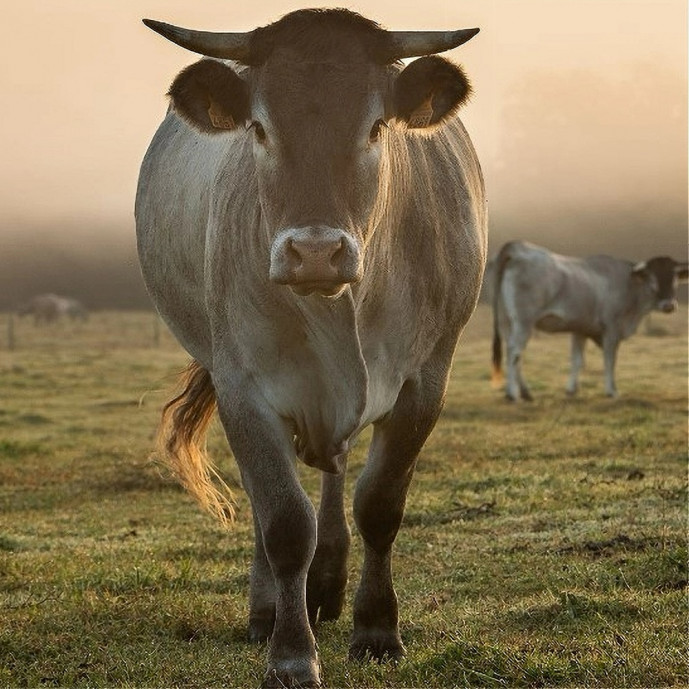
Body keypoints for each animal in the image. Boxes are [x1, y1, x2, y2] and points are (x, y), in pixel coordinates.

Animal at [134, 9, 486, 684]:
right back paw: (269, 608)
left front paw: (377, 629)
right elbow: (282, 519)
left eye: (375, 126)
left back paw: (326, 585)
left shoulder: (427, 379)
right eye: (259, 127)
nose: (316, 252)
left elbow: (379, 504)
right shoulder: (243, 387)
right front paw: (292, 653)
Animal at [492, 241, 684, 400]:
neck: (630, 284)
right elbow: (609, 360)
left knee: (514, 352)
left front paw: (571, 389)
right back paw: (512, 394)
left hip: (506, 321)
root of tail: (516, 247)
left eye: (674, 278)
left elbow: (577, 360)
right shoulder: (612, 329)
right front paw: (612, 391)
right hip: (523, 322)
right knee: (514, 352)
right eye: (653, 278)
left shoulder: (580, 329)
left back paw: (525, 392)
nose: (669, 305)